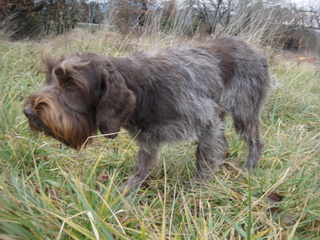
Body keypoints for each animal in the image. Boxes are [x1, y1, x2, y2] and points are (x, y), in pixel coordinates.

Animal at [23, 37, 272, 190]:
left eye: (72, 84)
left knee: (255, 142)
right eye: (49, 77)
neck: (144, 90)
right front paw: (127, 191)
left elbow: (204, 159)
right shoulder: (150, 138)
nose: (27, 112)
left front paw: (199, 189)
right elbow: (142, 166)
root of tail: (258, 52)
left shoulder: (207, 118)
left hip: (244, 112)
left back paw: (249, 169)